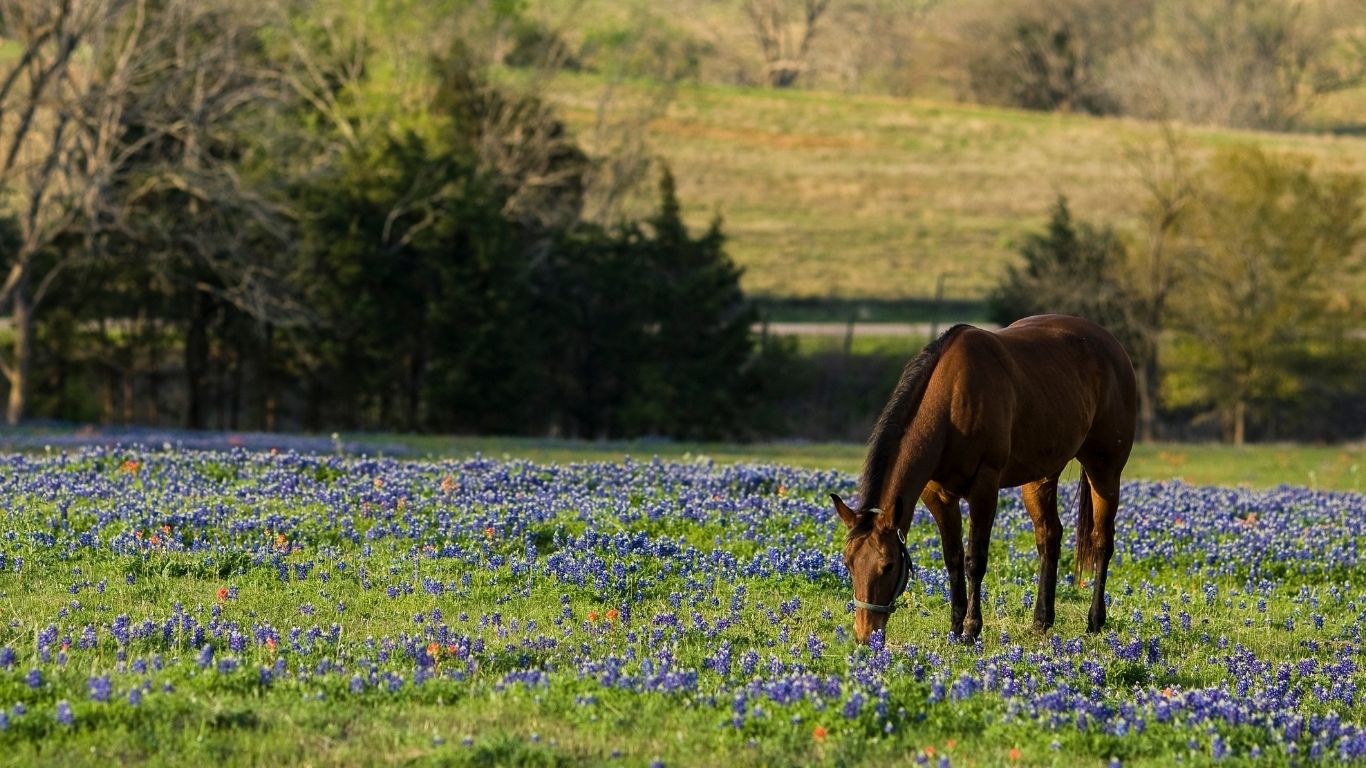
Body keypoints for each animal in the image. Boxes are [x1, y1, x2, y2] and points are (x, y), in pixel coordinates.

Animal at [830, 311, 1141, 639]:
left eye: (888, 565)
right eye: (848, 563)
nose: (865, 634)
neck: (952, 400)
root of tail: (1112, 344)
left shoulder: (984, 487)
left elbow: (974, 560)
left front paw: (971, 628)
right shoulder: (937, 494)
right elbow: (952, 558)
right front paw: (955, 626)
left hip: (1104, 468)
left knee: (1101, 540)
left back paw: (1095, 620)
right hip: (1041, 474)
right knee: (1049, 536)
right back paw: (1041, 620)